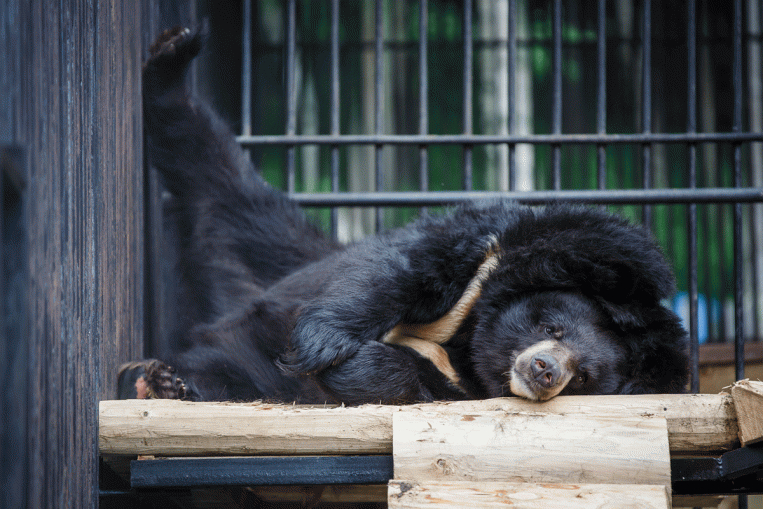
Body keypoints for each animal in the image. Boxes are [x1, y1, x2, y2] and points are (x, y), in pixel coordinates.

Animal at [122, 25, 689, 405]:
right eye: (553, 327)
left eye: (585, 377)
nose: (546, 368)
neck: (471, 340)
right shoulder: (502, 242)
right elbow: (400, 271)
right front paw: (319, 346)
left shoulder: (462, 386)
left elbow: (409, 380)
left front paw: (349, 369)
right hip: (258, 248)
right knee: (207, 162)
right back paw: (172, 54)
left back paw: (166, 382)